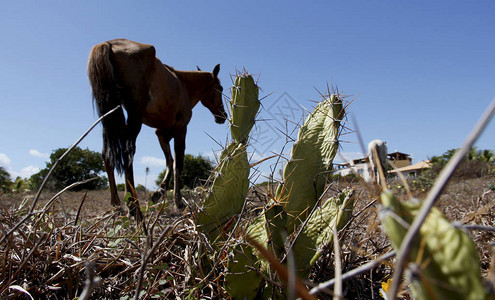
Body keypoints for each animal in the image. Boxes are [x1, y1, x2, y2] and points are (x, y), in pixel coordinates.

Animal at [87, 38, 227, 217]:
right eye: (220, 88)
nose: (222, 116)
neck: (182, 83)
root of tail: (109, 44)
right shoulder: (181, 129)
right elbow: (178, 163)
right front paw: (178, 201)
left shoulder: (161, 134)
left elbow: (169, 161)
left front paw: (159, 192)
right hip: (134, 119)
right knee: (127, 154)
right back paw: (132, 205)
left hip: (109, 118)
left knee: (107, 156)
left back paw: (117, 204)